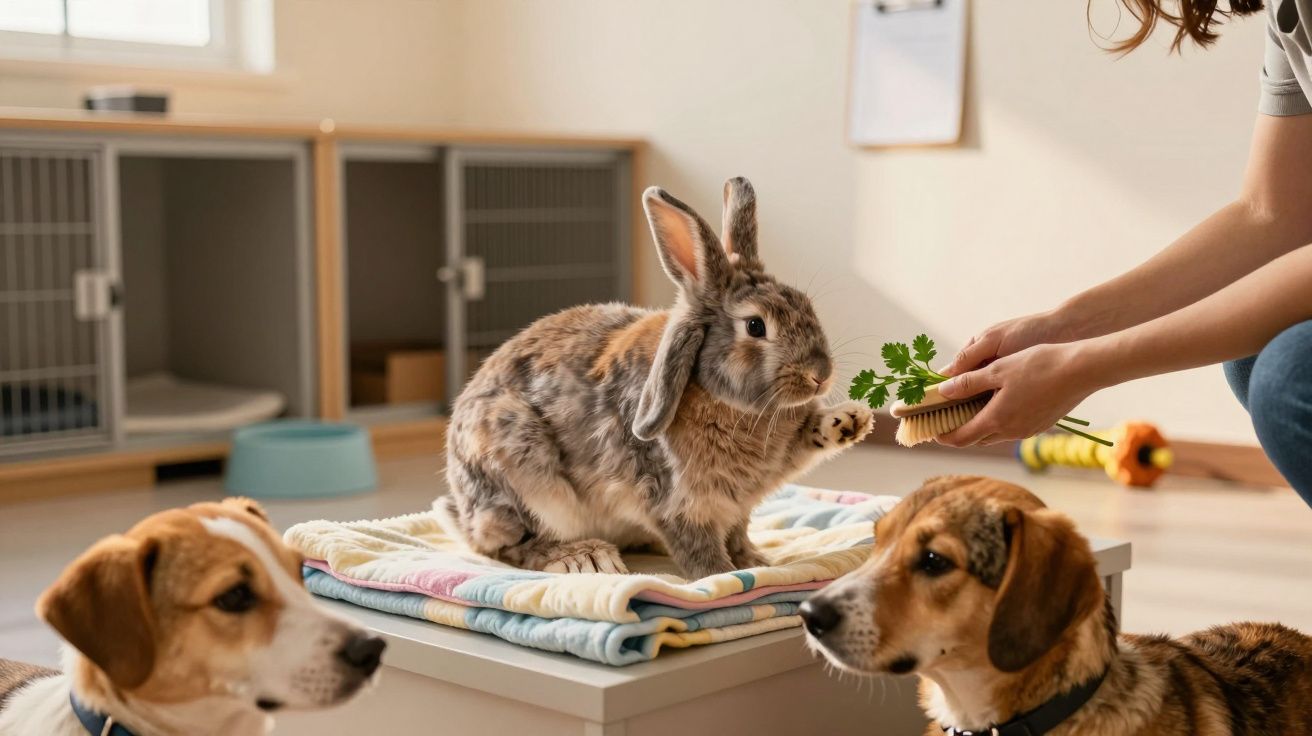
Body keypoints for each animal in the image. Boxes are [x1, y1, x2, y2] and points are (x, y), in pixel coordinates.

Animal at [439, 178, 874, 579]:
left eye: (805, 304)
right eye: (755, 326)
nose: (820, 375)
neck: (728, 403)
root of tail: (460, 508)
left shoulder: (738, 505)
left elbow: (741, 531)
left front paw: (850, 420)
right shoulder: (675, 500)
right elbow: (697, 547)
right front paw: (725, 575)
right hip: (520, 474)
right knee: (508, 545)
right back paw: (584, 557)